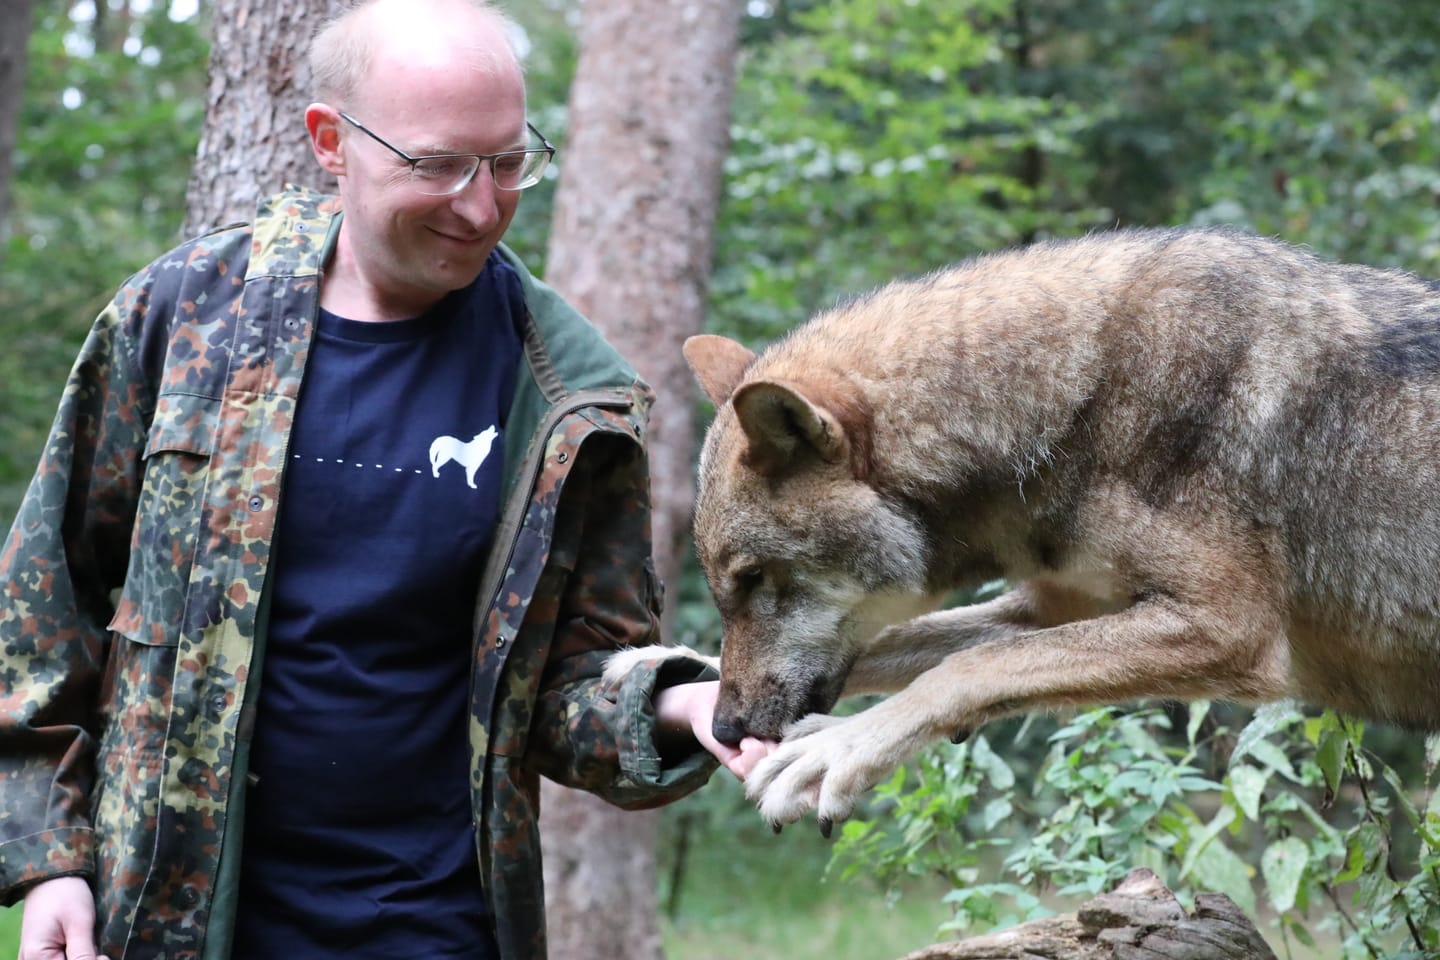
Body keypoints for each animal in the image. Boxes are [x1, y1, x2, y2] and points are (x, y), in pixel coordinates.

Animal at [682, 226, 1440, 834]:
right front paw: (684, 673)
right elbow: (917, 650)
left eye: (753, 579)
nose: (724, 727)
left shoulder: (1230, 628)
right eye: (729, 587)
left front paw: (834, 749)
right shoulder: (1053, 607)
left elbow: (965, 668)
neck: (1074, 401)